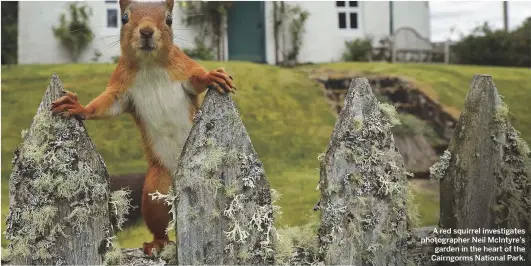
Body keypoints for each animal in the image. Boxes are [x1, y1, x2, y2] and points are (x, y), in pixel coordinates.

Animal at [50, 0, 237, 256]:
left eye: (169, 19)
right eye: (124, 18)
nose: (147, 31)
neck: (149, 65)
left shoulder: (183, 68)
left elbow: (197, 80)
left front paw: (212, 76)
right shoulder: (120, 89)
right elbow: (105, 106)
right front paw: (79, 107)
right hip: (155, 189)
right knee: (159, 221)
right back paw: (158, 243)